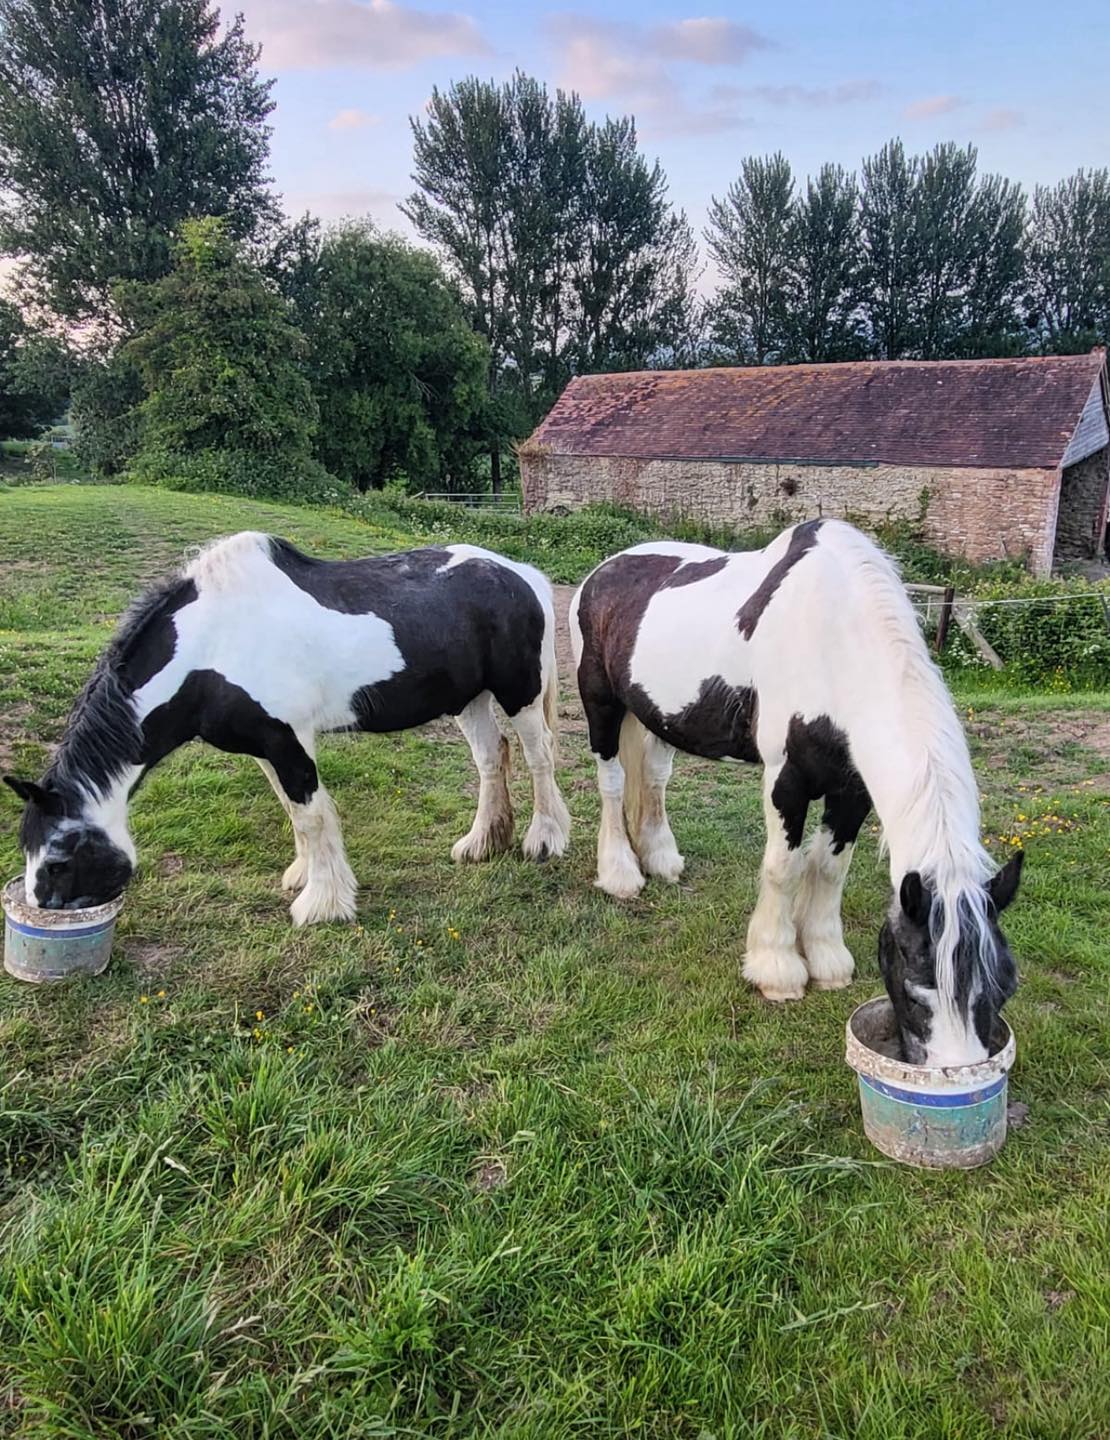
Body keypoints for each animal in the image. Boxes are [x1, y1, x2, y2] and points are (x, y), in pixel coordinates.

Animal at [4, 533, 571, 926]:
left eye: (57, 860)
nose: (43, 908)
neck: (211, 646)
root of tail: (519, 573)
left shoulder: (287, 741)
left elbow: (312, 815)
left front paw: (321, 904)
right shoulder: (265, 746)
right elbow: (292, 811)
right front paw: (303, 878)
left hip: (519, 694)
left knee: (539, 757)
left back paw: (544, 840)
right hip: (468, 700)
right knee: (491, 758)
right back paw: (481, 844)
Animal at [569, 519, 1022, 1068]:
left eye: (1005, 985)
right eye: (917, 990)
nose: (957, 1073)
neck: (835, 639)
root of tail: (602, 571)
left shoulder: (852, 791)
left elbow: (828, 868)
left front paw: (827, 960)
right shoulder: (786, 780)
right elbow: (784, 868)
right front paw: (777, 969)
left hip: (655, 719)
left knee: (653, 779)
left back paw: (659, 859)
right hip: (602, 707)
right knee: (613, 784)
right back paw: (620, 873)